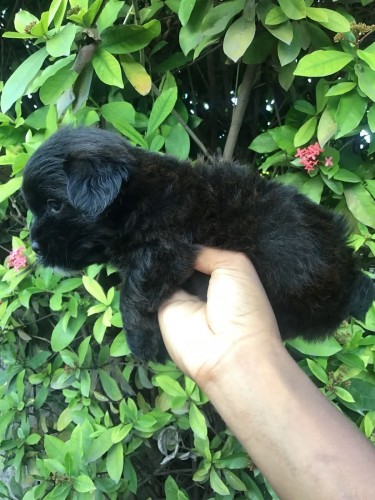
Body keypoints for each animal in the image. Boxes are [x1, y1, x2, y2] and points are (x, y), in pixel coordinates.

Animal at [22, 127, 374, 362]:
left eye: (54, 206)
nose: (34, 247)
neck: (140, 197)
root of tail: (351, 276)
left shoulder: (165, 248)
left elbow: (134, 292)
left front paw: (142, 343)